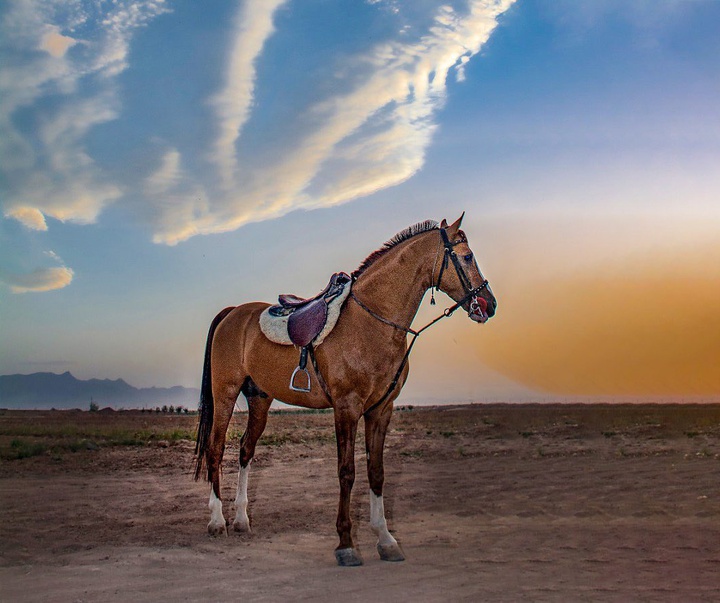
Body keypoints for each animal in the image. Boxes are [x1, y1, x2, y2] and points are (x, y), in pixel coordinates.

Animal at [193, 214, 496, 568]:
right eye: (467, 257)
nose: (489, 304)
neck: (374, 321)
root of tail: (232, 312)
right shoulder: (347, 407)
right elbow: (347, 471)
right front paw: (346, 544)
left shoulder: (381, 409)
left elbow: (376, 472)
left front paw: (386, 540)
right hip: (225, 393)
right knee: (215, 448)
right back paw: (217, 521)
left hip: (259, 399)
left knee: (245, 450)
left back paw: (241, 519)